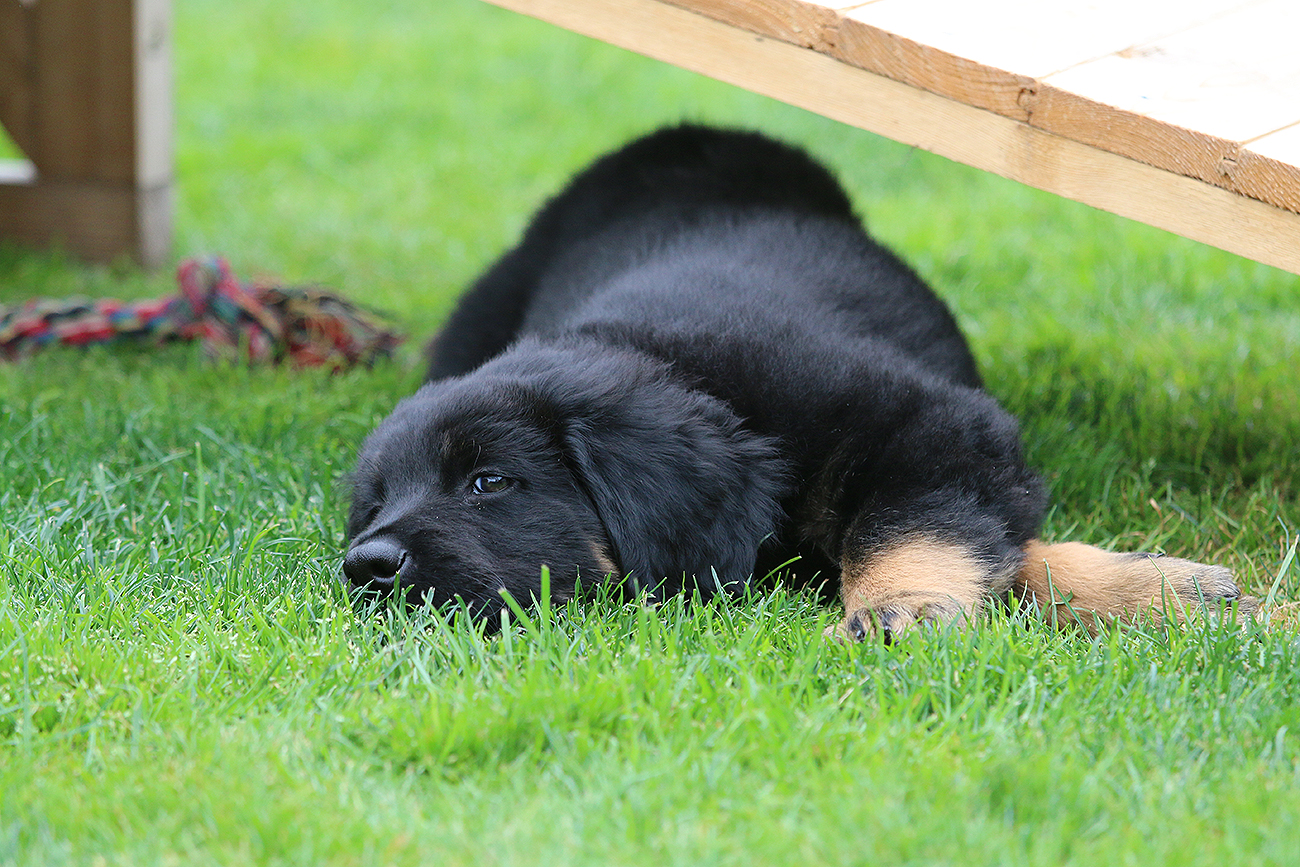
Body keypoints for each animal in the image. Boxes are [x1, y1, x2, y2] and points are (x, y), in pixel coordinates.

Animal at [344, 125, 1254, 640]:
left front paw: (900, 610)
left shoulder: (929, 421)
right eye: (375, 503)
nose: (366, 565)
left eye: (489, 481)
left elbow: (914, 521)